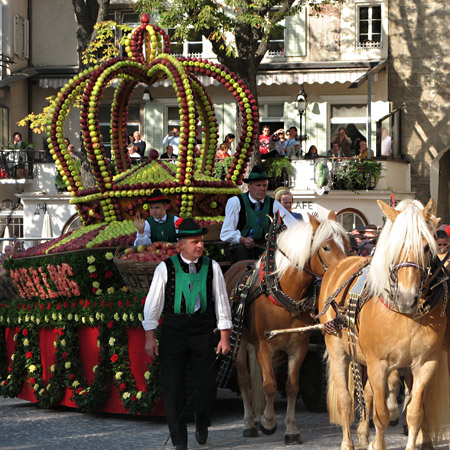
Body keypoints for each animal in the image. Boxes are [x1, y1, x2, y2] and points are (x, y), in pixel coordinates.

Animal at [224, 213, 348, 444]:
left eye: (347, 242)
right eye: (326, 247)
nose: (345, 272)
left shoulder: (298, 346)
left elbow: (291, 387)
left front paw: (291, 429)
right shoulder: (265, 346)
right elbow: (269, 385)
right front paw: (268, 422)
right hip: (239, 342)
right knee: (244, 380)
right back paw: (250, 424)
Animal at [318, 200, 448, 450]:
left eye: (426, 247)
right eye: (394, 247)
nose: (407, 297)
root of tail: (341, 263)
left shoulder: (426, 363)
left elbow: (415, 412)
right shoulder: (378, 365)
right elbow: (380, 415)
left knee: (367, 394)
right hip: (338, 349)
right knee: (346, 400)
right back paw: (348, 442)